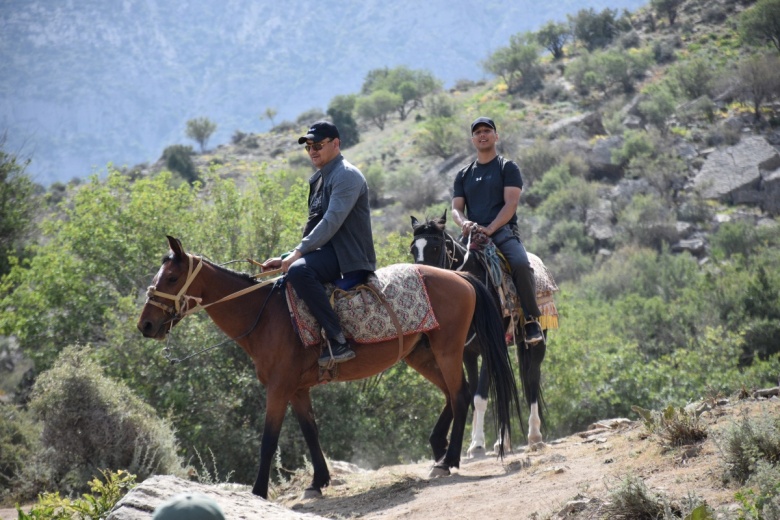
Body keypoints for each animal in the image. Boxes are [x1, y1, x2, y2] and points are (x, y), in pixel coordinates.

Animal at [137, 237, 520, 500]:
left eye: (172, 277)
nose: (146, 325)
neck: (266, 315)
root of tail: (462, 277)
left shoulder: (278, 389)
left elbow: (268, 441)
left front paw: (259, 492)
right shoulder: (297, 389)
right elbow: (311, 432)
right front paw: (318, 482)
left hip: (447, 350)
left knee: (460, 395)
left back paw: (449, 459)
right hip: (422, 355)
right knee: (454, 395)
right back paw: (439, 450)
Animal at [412, 213, 552, 452]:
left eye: (436, 247)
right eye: (413, 249)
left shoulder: (487, 348)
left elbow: (480, 397)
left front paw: (477, 444)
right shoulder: (467, 353)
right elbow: (473, 394)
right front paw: (477, 442)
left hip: (537, 341)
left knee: (532, 379)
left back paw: (534, 435)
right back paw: (503, 441)